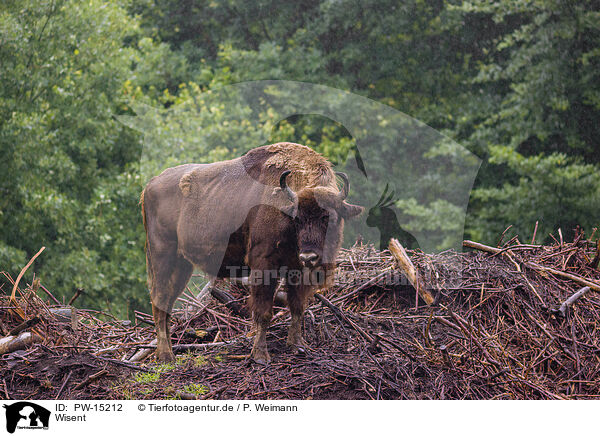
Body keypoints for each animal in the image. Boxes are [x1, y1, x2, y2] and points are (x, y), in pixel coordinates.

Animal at [142, 142, 360, 362]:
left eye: (328, 216)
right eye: (297, 219)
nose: (309, 257)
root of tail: (149, 186)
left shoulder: (296, 268)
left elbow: (298, 306)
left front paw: (297, 345)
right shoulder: (264, 265)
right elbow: (264, 312)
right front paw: (260, 355)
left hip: (182, 265)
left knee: (167, 305)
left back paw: (168, 354)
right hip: (162, 257)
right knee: (159, 301)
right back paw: (165, 356)